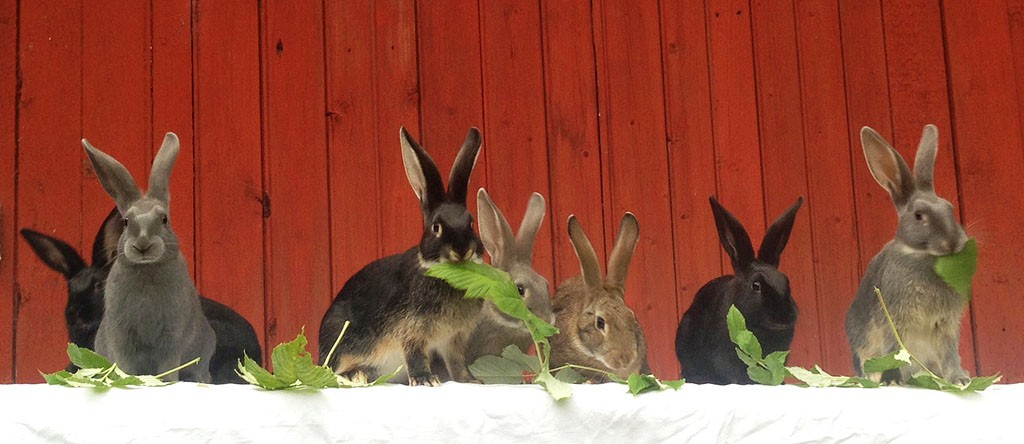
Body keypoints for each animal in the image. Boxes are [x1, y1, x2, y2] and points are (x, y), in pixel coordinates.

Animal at [81, 132, 216, 380]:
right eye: (126, 222)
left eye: (164, 219)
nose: (142, 244)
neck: (147, 270)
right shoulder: (122, 335)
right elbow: (125, 363)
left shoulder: (172, 335)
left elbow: (167, 365)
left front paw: (166, 382)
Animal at [315, 126, 483, 386]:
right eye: (436, 227)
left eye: (471, 223)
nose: (462, 249)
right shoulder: (411, 332)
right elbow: (415, 356)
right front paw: (426, 380)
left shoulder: (453, 340)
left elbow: (457, 364)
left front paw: (471, 381)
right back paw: (357, 375)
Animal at [843, 124, 970, 384]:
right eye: (919, 215)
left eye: (950, 208)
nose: (953, 242)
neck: (922, 256)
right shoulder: (893, 322)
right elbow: (894, 351)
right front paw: (892, 379)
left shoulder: (946, 326)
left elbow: (950, 353)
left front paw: (959, 378)